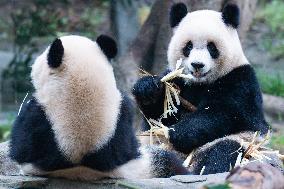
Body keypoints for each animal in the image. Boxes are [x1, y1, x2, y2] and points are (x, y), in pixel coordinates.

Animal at [8, 34, 187, 180]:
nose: (32, 67)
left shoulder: (36, 116)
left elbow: (20, 149)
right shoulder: (122, 114)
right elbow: (128, 147)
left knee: (167, 161)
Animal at [132, 3, 270, 174]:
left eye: (211, 47)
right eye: (188, 46)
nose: (197, 65)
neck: (200, 83)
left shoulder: (240, 81)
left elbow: (223, 112)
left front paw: (179, 133)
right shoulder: (177, 80)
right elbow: (159, 117)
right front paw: (148, 89)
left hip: (244, 140)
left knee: (223, 152)